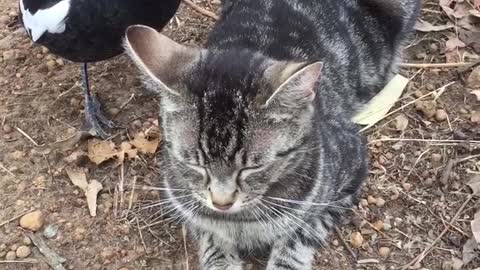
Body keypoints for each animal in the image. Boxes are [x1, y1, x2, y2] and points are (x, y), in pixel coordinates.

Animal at [125, 1, 418, 268]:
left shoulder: (350, 172)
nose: (221, 203)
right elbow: (211, 238)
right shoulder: (194, 212)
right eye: (194, 164)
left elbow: (301, 234)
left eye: (253, 168)